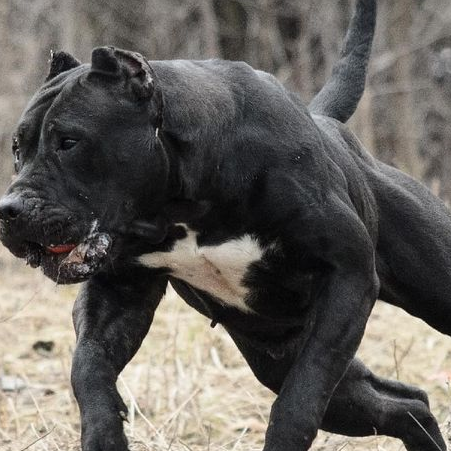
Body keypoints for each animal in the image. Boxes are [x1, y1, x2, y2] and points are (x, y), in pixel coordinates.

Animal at [0, 0, 451, 451]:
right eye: (18, 149)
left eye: (69, 142)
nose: (9, 209)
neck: (182, 200)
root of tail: (326, 121)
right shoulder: (118, 293)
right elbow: (87, 364)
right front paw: (105, 431)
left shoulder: (348, 276)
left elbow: (304, 391)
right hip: (280, 356)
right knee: (405, 405)